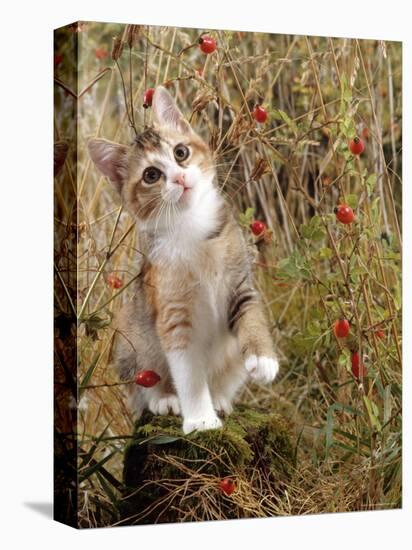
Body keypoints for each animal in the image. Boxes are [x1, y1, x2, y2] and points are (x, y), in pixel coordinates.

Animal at [88, 87, 278, 436]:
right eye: (151, 175)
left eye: (180, 152)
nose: (179, 178)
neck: (191, 227)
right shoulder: (174, 313)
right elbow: (188, 372)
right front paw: (200, 419)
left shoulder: (239, 283)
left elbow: (250, 316)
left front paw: (263, 358)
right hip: (132, 337)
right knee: (141, 385)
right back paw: (164, 399)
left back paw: (220, 398)